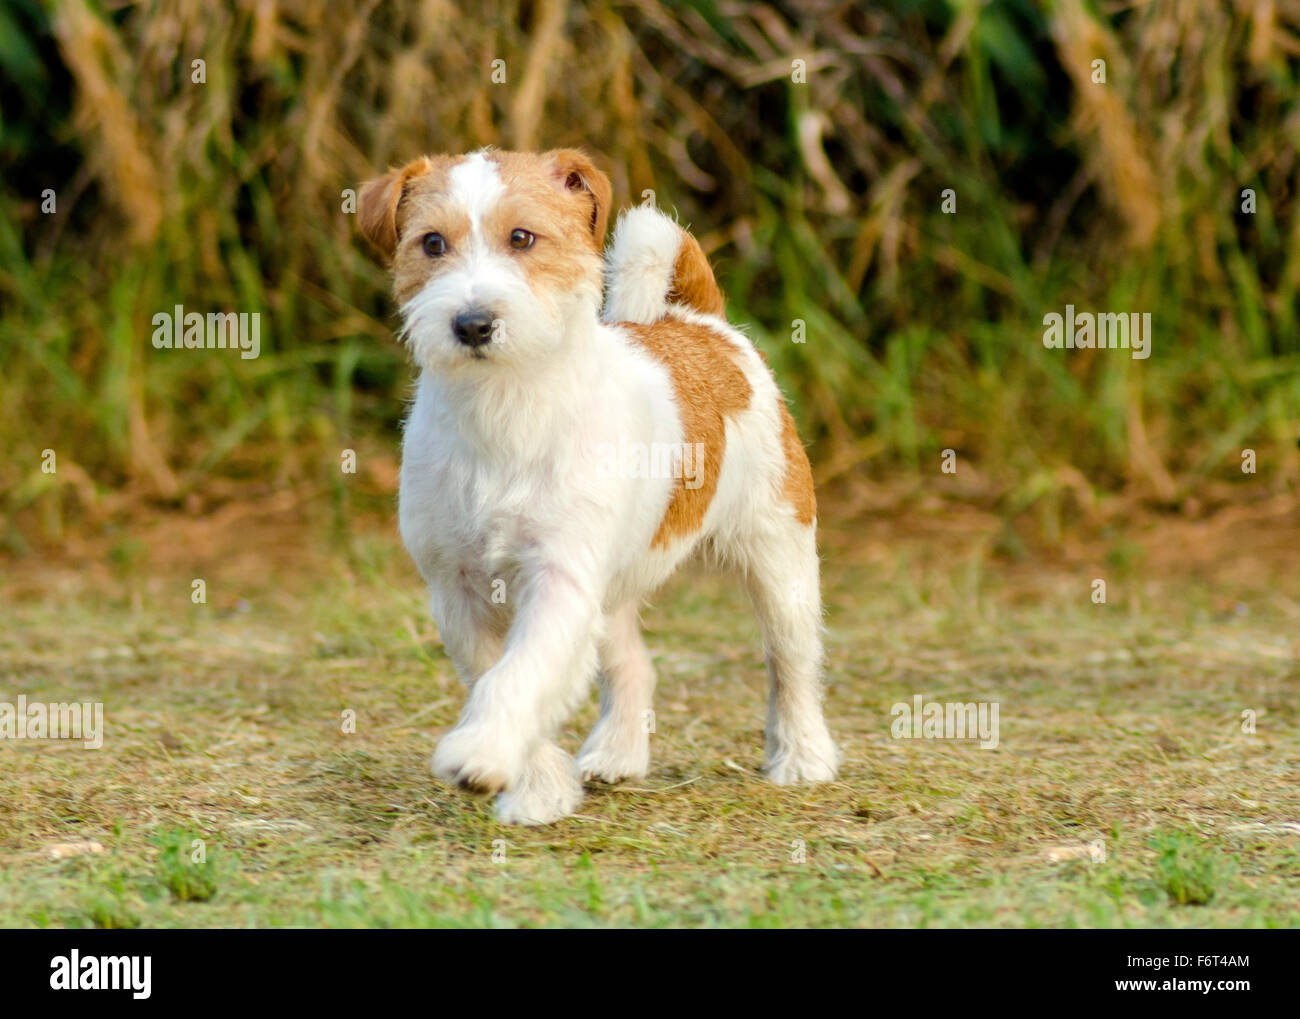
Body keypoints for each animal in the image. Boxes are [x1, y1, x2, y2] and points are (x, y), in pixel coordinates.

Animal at [358, 147, 842, 821]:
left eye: (522, 237)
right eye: (431, 243)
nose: (473, 324)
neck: (505, 408)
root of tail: (700, 322)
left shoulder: (559, 579)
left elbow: (521, 674)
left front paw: (481, 751)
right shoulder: (458, 593)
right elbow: (496, 676)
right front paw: (537, 787)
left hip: (779, 555)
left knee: (791, 662)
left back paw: (802, 757)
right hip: (611, 588)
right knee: (634, 665)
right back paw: (617, 752)